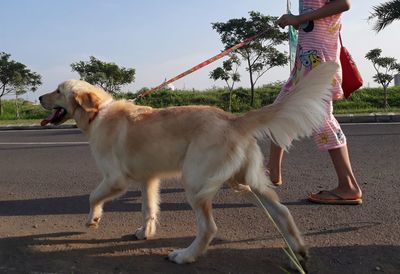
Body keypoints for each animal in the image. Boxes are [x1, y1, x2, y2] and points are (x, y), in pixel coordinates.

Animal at [38, 62, 338, 268]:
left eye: (57, 90)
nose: (39, 97)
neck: (98, 113)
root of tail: (233, 120)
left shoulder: (115, 179)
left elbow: (93, 196)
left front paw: (93, 219)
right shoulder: (149, 179)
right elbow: (149, 209)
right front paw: (145, 232)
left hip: (195, 182)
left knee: (209, 228)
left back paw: (185, 256)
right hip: (243, 182)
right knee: (282, 211)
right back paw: (298, 252)